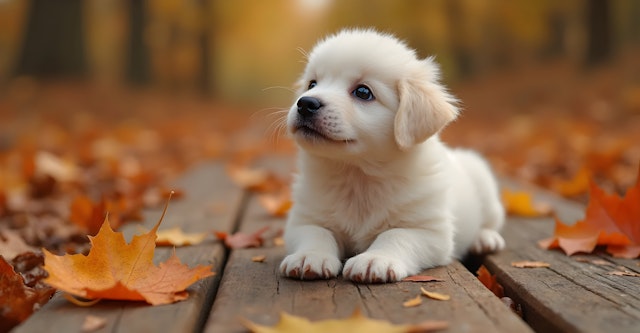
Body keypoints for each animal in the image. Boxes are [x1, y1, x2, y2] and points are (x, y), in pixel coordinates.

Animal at [280, 29, 504, 282]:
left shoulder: (428, 231)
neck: (357, 176)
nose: (305, 103)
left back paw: (485, 239)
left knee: (490, 222)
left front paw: (375, 259)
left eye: (363, 92)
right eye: (312, 84)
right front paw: (309, 256)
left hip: (484, 184)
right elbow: (317, 233)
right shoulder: (303, 220)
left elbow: (395, 236)